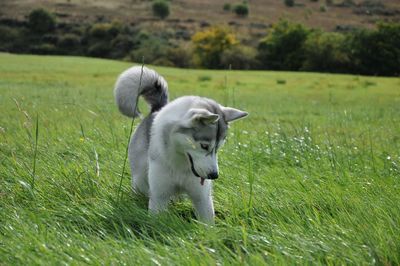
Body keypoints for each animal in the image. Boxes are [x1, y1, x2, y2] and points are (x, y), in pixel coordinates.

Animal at [113, 65, 247, 223]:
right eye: (204, 146)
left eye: (219, 148)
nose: (214, 175)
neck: (180, 165)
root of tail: (157, 109)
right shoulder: (159, 197)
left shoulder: (202, 198)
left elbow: (208, 222)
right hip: (140, 179)